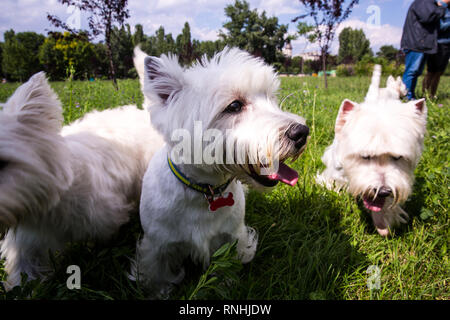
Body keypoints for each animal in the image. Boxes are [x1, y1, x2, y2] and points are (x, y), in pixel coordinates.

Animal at [130, 47, 310, 296]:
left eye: (270, 97)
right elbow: (158, 276)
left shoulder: (232, 236)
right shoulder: (157, 245)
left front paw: (226, 284)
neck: (206, 191)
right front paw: (159, 293)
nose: (302, 132)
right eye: (234, 106)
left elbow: (226, 268)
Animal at [314, 65, 428, 236]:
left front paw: (385, 220)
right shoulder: (334, 172)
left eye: (398, 157)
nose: (383, 191)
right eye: (365, 156)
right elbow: (332, 185)